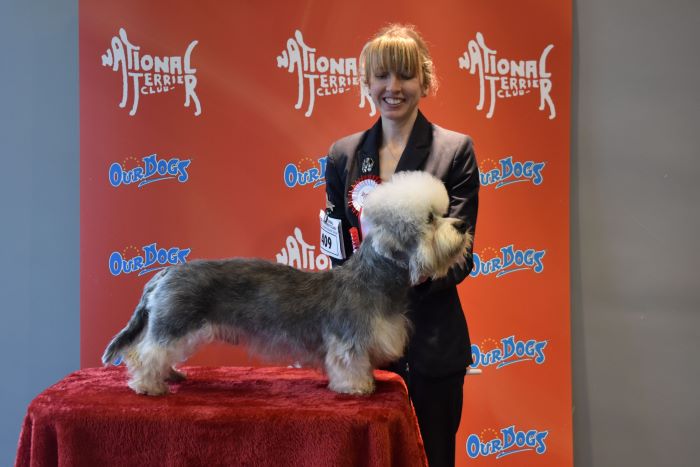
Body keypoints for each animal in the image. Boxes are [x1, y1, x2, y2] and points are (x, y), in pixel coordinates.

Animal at [102, 171, 471, 396]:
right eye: (430, 219)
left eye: (443, 212)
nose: (464, 225)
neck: (374, 282)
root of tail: (166, 272)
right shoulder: (349, 340)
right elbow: (349, 364)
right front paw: (357, 387)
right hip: (175, 323)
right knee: (145, 351)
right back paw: (148, 385)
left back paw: (170, 375)